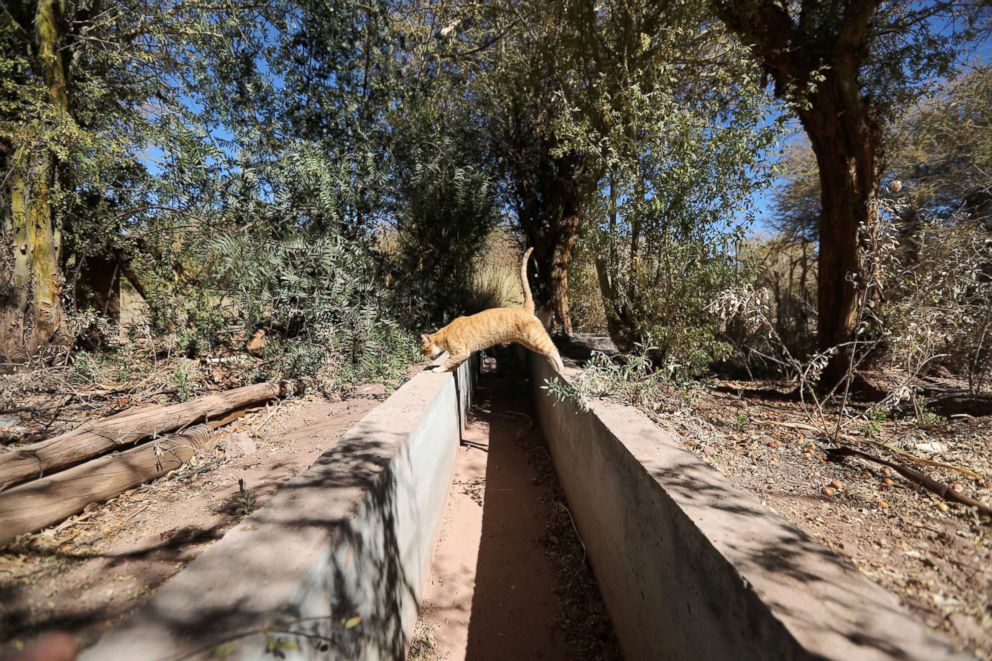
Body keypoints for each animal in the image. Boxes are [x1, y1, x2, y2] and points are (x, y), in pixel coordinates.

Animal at [420, 248, 564, 374]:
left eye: (424, 350)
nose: (423, 356)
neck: (445, 334)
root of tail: (525, 308)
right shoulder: (462, 355)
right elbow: (453, 364)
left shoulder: (461, 352)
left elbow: (447, 362)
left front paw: (437, 369)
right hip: (528, 343)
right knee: (548, 351)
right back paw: (555, 367)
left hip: (535, 339)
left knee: (554, 349)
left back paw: (561, 368)